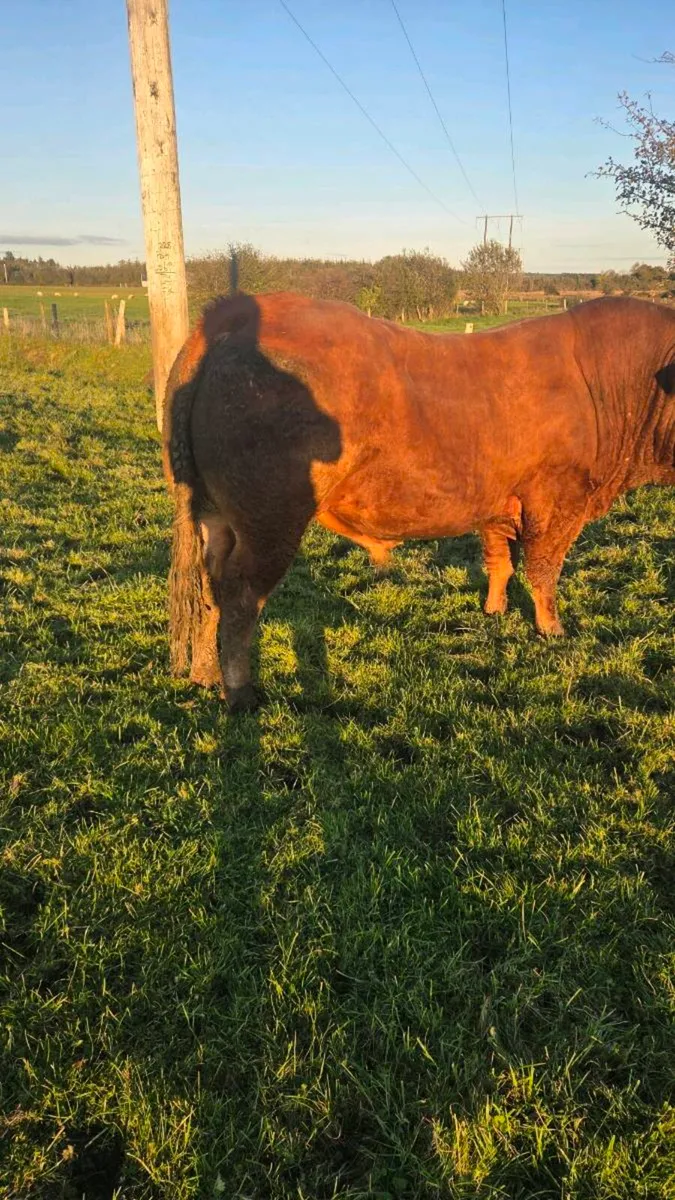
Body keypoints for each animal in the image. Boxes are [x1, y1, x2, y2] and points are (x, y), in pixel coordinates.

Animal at [163, 293, 675, 711]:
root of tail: (233, 315)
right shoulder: (557, 501)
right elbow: (544, 571)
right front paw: (553, 631)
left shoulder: (498, 503)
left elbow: (500, 562)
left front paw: (494, 612)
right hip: (269, 524)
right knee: (240, 597)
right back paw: (240, 693)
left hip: (214, 517)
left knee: (209, 589)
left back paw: (204, 674)